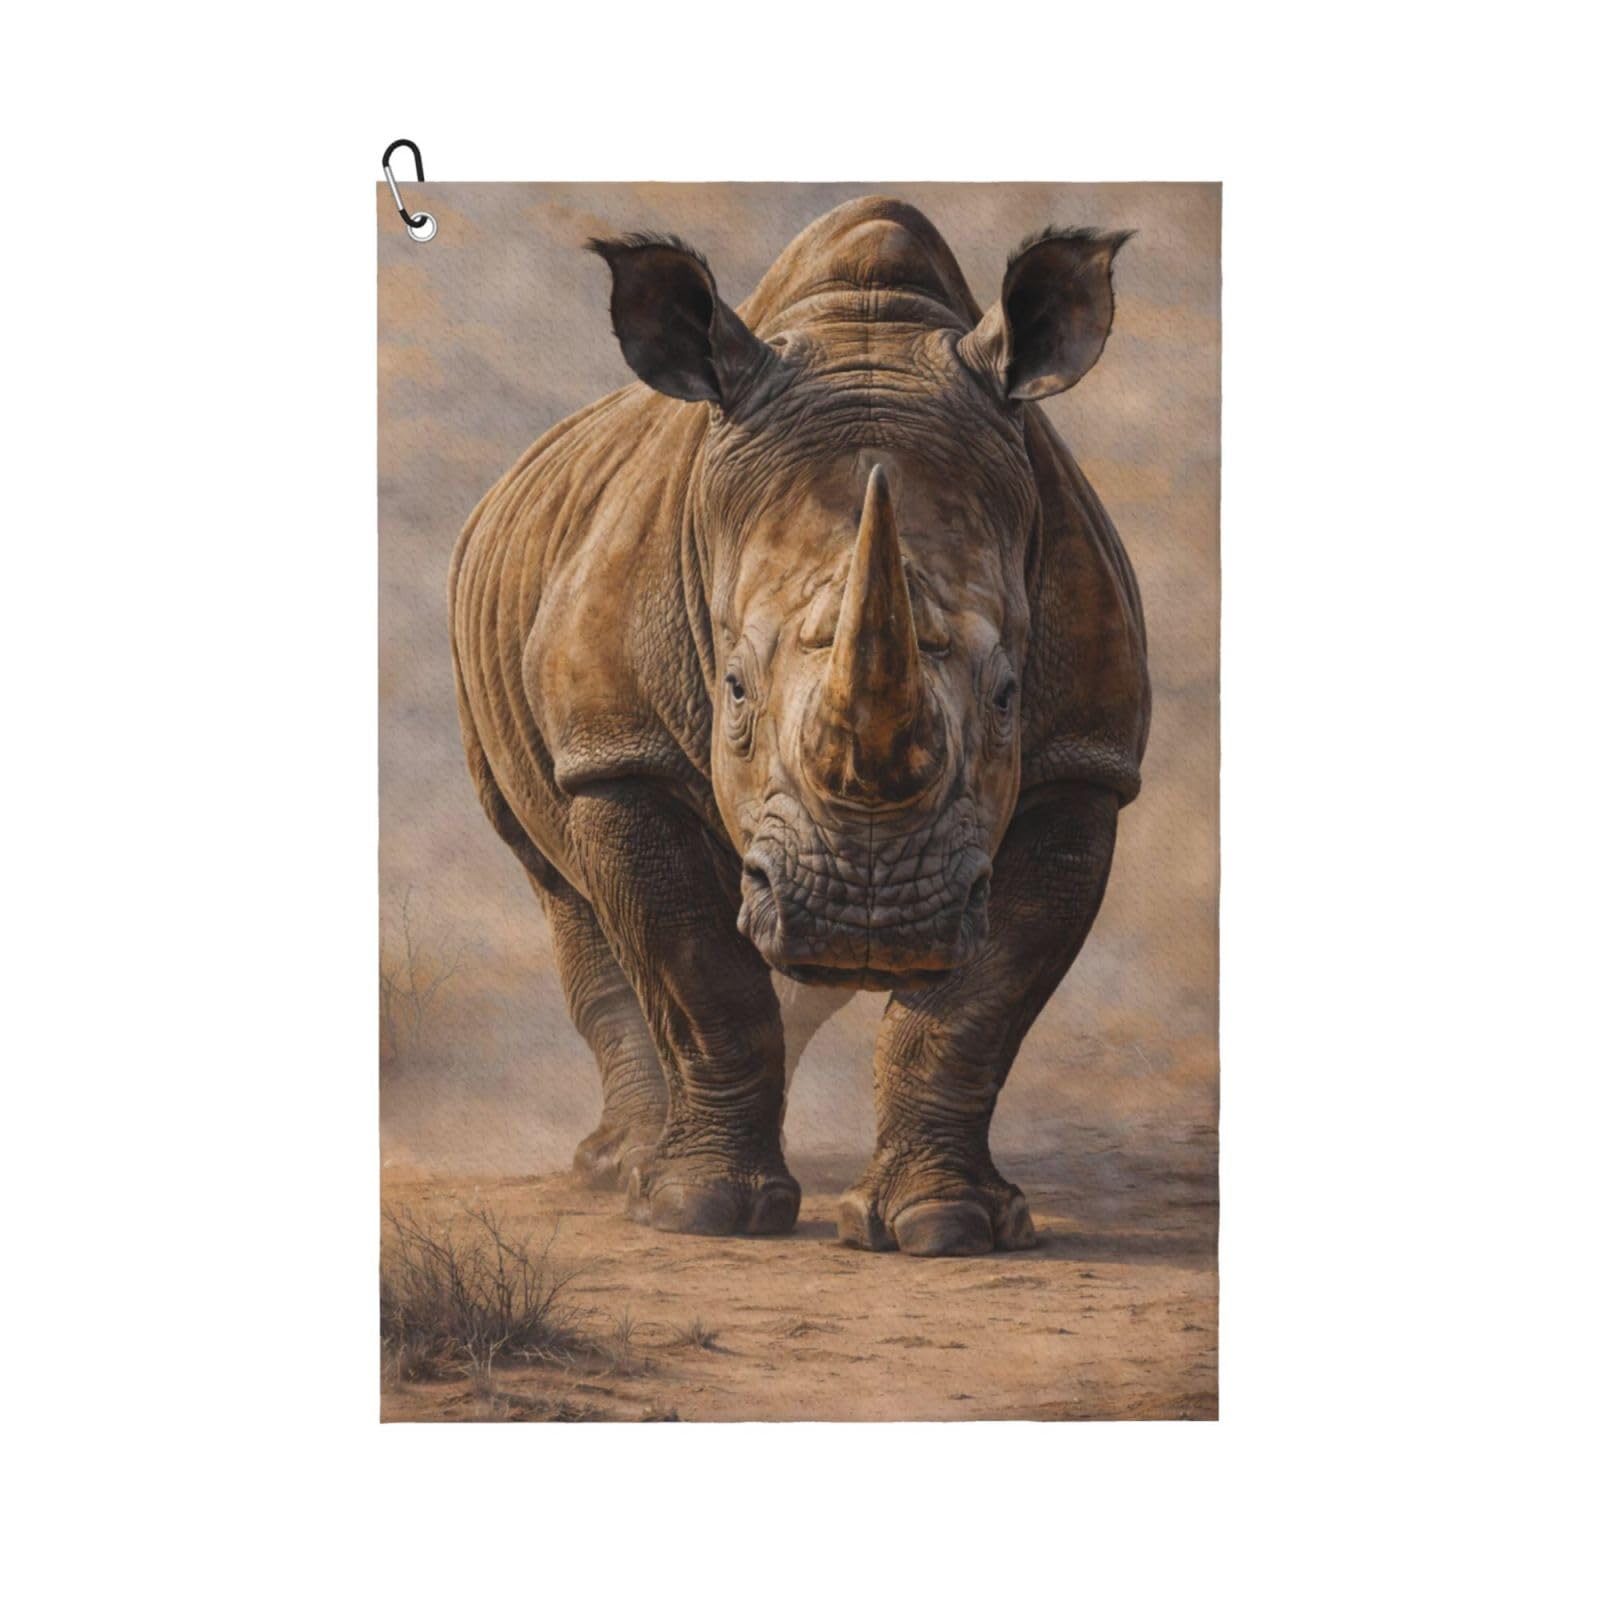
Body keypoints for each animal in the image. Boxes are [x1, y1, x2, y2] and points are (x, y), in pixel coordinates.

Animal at [449, 197, 1149, 1255]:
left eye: (1006, 696)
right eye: (732, 688)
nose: (870, 915)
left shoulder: (1084, 761)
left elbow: (974, 1010)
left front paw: (946, 1226)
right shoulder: (620, 752)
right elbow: (700, 976)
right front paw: (698, 1211)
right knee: (562, 887)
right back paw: (621, 1168)